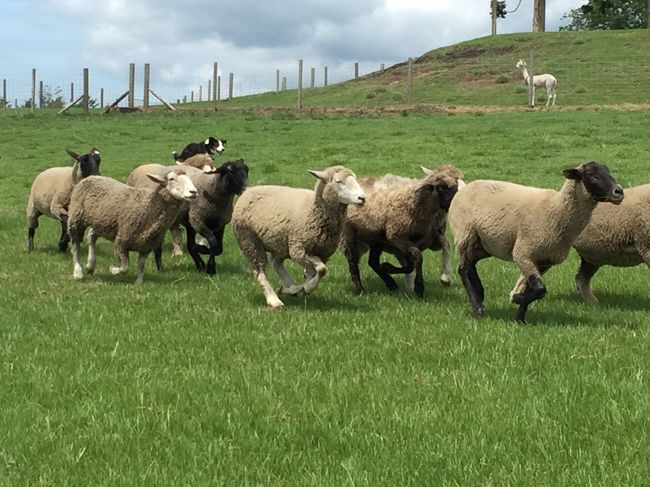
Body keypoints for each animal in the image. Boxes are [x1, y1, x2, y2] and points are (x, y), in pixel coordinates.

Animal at [67, 169, 197, 286]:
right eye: (172, 179)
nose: (194, 192)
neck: (149, 209)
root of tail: (90, 177)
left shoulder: (146, 246)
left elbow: (140, 265)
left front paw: (139, 281)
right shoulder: (121, 243)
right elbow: (124, 268)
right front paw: (113, 270)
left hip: (104, 224)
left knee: (91, 235)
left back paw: (90, 265)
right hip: (76, 218)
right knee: (75, 245)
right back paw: (78, 272)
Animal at [232, 166, 364, 306]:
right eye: (338, 181)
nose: (362, 198)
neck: (313, 209)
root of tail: (247, 191)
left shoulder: (321, 253)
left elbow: (315, 271)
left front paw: (301, 287)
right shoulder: (299, 250)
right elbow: (321, 270)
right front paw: (307, 288)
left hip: (280, 242)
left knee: (277, 263)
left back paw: (289, 287)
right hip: (249, 241)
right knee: (260, 271)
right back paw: (274, 300)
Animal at [446, 162, 624, 326]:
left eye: (608, 171)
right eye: (592, 175)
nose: (619, 192)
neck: (557, 210)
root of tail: (464, 188)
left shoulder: (543, 260)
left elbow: (534, 290)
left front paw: (520, 318)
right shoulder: (523, 253)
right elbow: (540, 289)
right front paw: (517, 298)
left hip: (483, 245)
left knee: (470, 266)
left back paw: (480, 294)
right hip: (465, 234)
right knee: (463, 269)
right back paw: (477, 306)